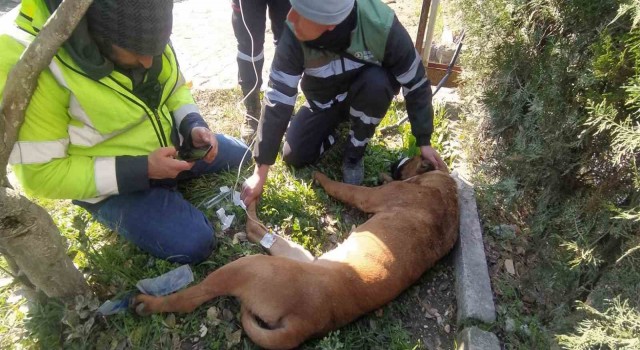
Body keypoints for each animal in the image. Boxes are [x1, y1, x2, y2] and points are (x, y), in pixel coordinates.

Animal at [131, 158, 460, 350]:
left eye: (412, 160)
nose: (395, 163)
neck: (445, 186)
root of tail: (306, 324)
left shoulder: (367, 196)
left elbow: (341, 186)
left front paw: (320, 175)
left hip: (249, 266)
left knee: (190, 297)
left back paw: (148, 304)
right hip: (297, 255)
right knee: (260, 232)